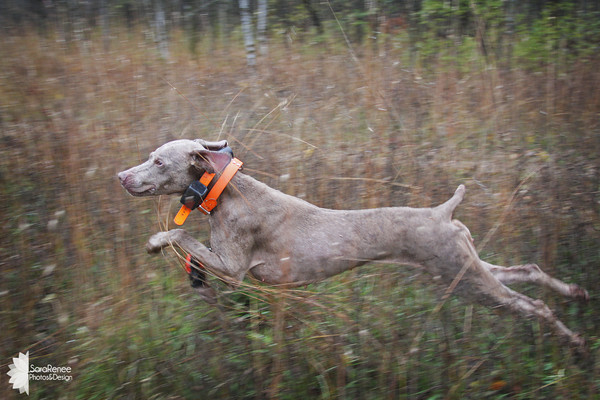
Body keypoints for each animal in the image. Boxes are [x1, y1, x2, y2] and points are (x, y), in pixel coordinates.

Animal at [119, 139, 588, 348]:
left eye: (158, 161)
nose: (121, 176)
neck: (225, 191)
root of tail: (443, 211)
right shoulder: (226, 264)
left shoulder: (233, 268)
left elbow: (180, 233)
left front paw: (155, 241)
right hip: (466, 266)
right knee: (527, 271)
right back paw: (575, 292)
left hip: (465, 279)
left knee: (532, 305)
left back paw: (576, 340)